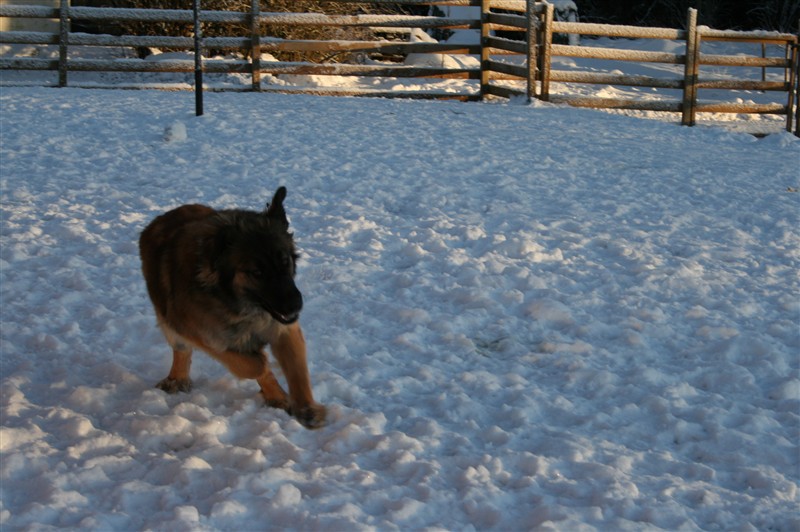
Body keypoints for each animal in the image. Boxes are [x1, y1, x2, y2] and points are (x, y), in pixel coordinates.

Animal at [139, 187, 326, 428]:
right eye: (256, 273)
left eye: (285, 261)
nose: (296, 304)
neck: (242, 307)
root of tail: (162, 218)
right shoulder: (200, 333)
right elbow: (252, 365)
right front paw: (260, 360)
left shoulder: (284, 329)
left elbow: (297, 372)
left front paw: (307, 408)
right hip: (168, 320)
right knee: (182, 351)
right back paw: (177, 378)